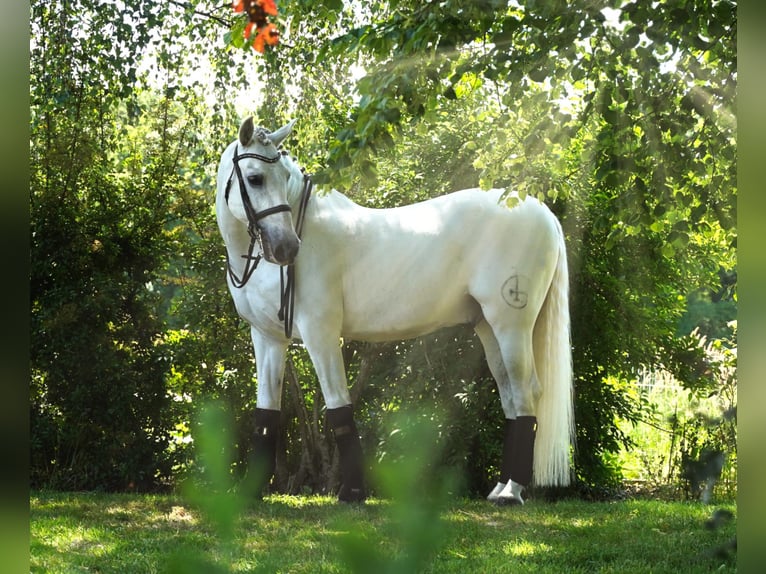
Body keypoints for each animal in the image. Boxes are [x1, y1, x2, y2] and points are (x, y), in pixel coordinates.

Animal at [216, 117, 576, 504]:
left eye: (285, 176)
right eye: (255, 178)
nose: (286, 247)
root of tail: (541, 211)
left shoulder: (321, 332)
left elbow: (338, 406)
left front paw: (353, 492)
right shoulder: (268, 338)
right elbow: (266, 414)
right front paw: (249, 491)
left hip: (511, 326)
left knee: (526, 393)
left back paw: (511, 491)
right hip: (488, 328)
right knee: (510, 393)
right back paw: (499, 488)